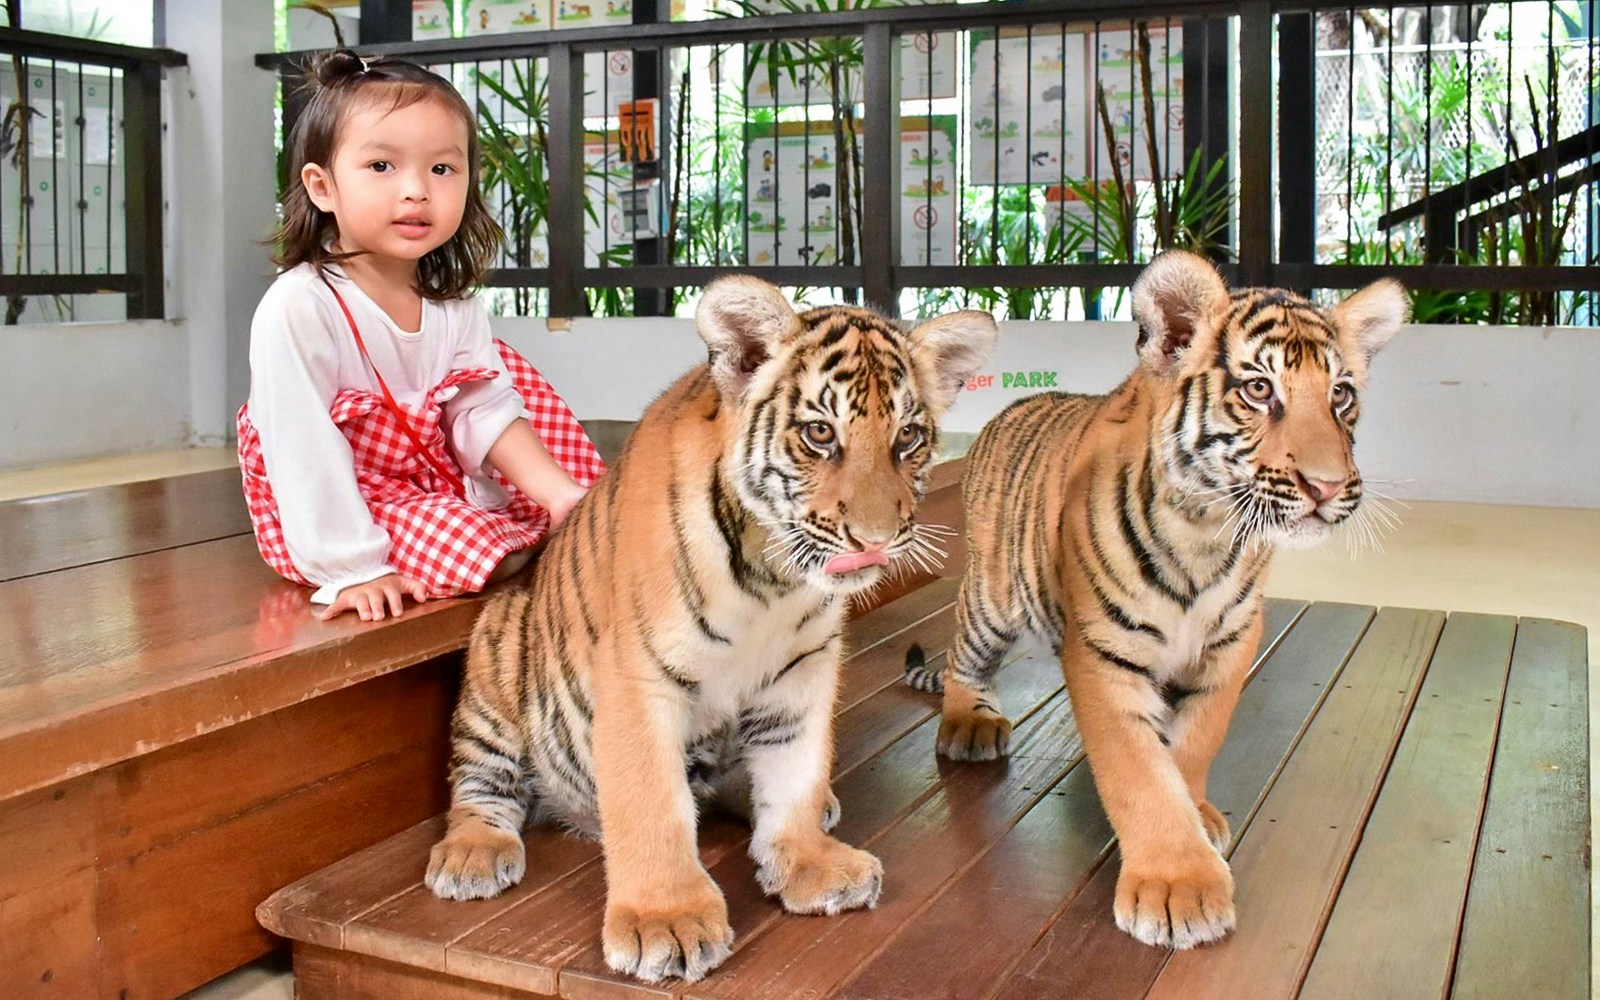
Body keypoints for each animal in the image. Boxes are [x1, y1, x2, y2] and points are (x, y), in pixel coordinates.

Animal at [424, 274, 998, 984]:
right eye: (820, 433)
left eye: (909, 437)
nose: (876, 541)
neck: (772, 578)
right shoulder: (639, 681)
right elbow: (652, 804)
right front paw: (665, 921)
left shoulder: (802, 672)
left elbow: (794, 772)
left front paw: (810, 861)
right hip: (498, 654)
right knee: (482, 783)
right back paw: (472, 854)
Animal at [912, 249, 1407, 950]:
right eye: (1259, 390)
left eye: (1341, 394)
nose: (1329, 486)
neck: (1208, 532)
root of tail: (1005, 411)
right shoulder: (1104, 652)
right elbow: (1137, 770)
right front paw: (1178, 888)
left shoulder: (1233, 641)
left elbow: (1196, 739)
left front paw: (1196, 813)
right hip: (993, 598)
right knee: (964, 658)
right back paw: (969, 724)